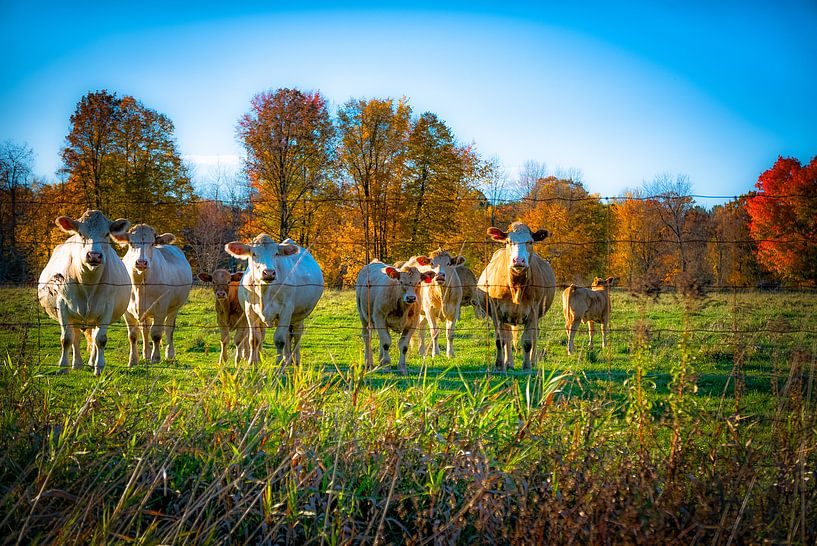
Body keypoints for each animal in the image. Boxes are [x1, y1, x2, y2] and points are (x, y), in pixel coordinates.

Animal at [37, 209, 131, 374]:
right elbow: (66, 338)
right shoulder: (62, 305)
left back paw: (92, 362)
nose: (94, 255)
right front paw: (63, 367)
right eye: (81, 233)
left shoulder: (107, 307)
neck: (88, 282)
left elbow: (100, 339)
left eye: (107, 234)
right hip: (74, 317)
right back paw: (77, 364)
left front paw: (99, 367)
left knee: (93, 337)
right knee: (75, 338)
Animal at [111, 221, 192, 366]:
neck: (139, 284)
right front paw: (133, 360)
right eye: (131, 243)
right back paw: (146, 354)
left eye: (153, 243)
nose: (141, 262)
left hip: (174, 308)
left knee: (168, 328)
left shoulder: (161, 306)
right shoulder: (127, 311)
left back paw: (169, 354)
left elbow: (156, 334)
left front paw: (156, 357)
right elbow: (133, 335)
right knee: (145, 329)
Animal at [226, 232, 326, 368]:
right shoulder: (249, 310)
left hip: (298, 315)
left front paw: (278, 363)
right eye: (254, 253)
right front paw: (252, 363)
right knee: (288, 335)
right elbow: (254, 339)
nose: (268, 273)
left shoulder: (286, 310)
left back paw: (295, 359)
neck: (264, 291)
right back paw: (287, 359)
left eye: (276, 253)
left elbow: (279, 339)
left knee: (297, 334)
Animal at [478, 221, 556, 370]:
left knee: (534, 336)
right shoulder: (496, 310)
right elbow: (500, 340)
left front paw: (527, 367)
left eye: (530, 241)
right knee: (507, 337)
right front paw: (499, 366)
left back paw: (533, 362)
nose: (518, 260)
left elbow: (527, 341)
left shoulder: (533, 310)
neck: (516, 287)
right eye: (508, 241)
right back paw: (508, 363)